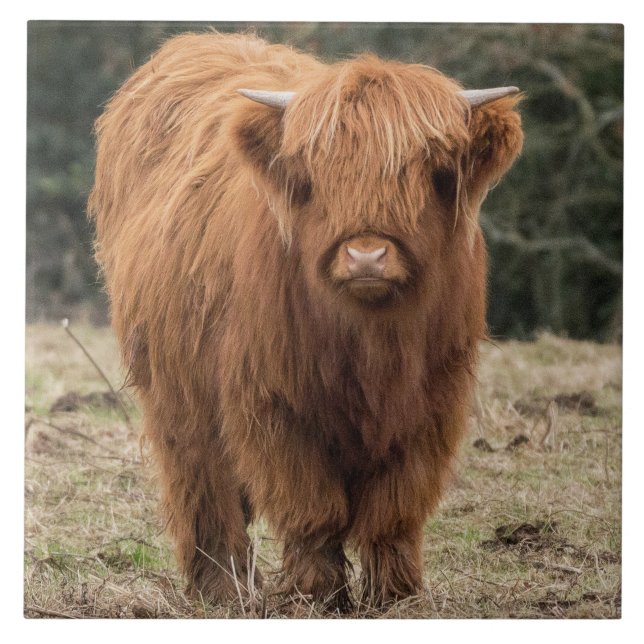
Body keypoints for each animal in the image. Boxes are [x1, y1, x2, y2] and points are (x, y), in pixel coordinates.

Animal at [88, 31, 523, 610]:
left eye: (428, 167)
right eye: (319, 172)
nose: (366, 256)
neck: (370, 339)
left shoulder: (433, 402)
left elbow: (396, 507)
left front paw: (395, 594)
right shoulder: (274, 401)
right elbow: (312, 505)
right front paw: (315, 594)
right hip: (176, 390)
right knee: (204, 486)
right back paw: (221, 588)